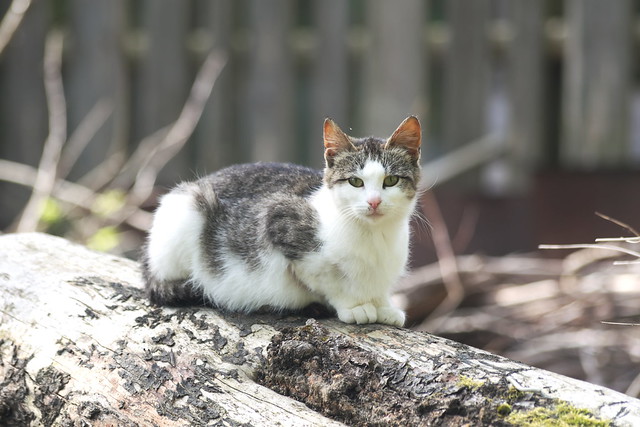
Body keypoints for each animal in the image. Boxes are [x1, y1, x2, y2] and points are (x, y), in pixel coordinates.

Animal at [141, 115, 420, 326]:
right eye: (355, 181)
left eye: (391, 180)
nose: (374, 202)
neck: (374, 237)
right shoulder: (278, 218)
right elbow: (327, 281)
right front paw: (354, 306)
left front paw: (384, 305)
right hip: (187, 209)